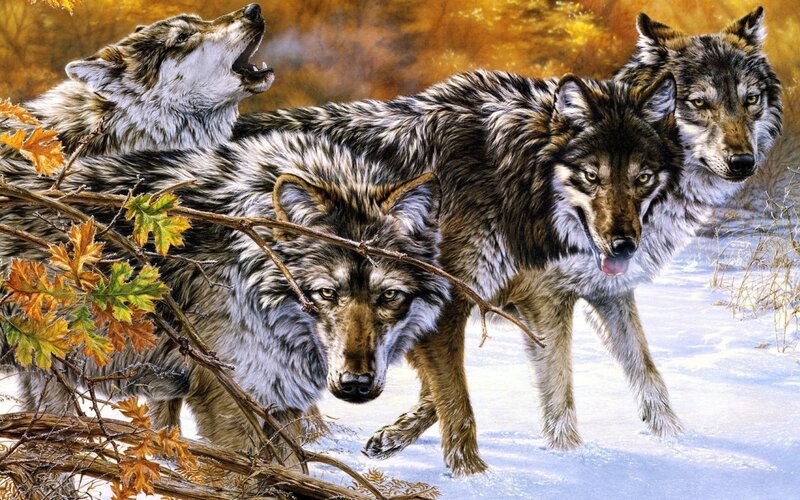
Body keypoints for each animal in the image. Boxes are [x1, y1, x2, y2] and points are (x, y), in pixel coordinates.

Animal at [233, 71, 682, 474]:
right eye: (592, 177)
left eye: (642, 178)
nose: (624, 246)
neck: (509, 178)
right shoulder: (455, 304)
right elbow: (461, 399)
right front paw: (474, 474)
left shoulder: (579, 295)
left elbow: (644, 371)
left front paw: (673, 439)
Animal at [344, 7, 784, 458]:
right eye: (698, 103)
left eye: (751, 100)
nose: (743, 162)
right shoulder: (535, 300)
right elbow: (553, 387)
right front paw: (570, 455)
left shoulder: (608, 292)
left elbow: (646, 373)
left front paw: (675, 442)